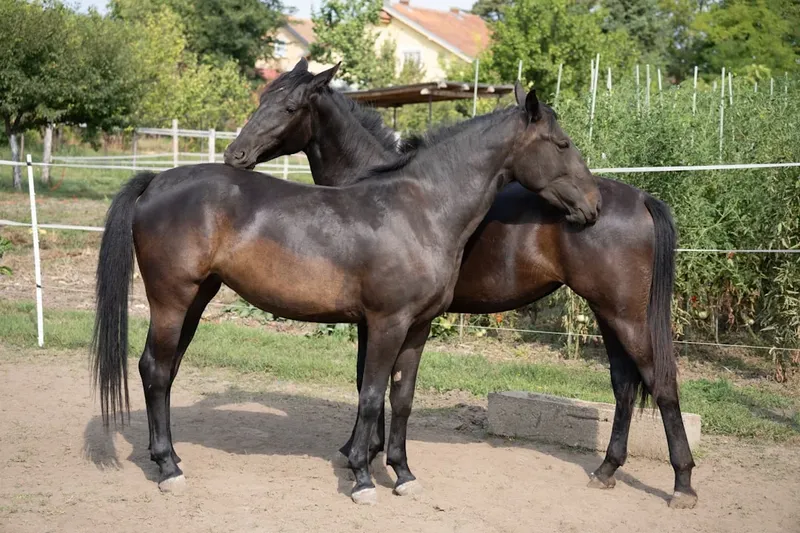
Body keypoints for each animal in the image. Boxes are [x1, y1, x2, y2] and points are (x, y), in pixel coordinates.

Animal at [91, 67, 601, 504]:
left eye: (288, 106)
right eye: (562, 143)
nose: (592, 205)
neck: (420, 208)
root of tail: (156, 181)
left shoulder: (416, 329)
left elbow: (402, 398)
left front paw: (402, 473)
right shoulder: (385, 323)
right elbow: (371, 395)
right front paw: (361, 476)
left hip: (197, 299)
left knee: (166, 369)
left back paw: (172, 457)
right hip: (173, 300)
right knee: (156, 369)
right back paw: (167, 468)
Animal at [223, 59, 698, 509]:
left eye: (288, 108)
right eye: (262, 99)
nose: (235, 155)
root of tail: (639, 197)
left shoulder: (380, 320)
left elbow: (368, 385)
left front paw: (365, 455)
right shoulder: (380, 320)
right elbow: (379, 386)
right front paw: (374, 456)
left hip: (625, 316)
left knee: (661, 383)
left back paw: (682, 484)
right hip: (608, 314)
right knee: (624, 386)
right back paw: (607, 469)